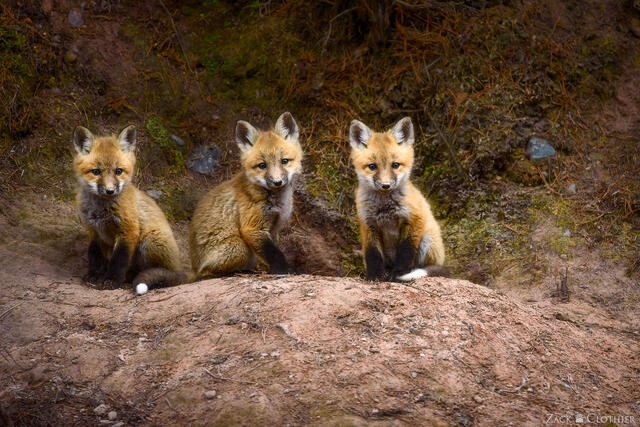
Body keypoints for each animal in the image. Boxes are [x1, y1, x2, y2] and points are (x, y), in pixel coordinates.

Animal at [73, 125, 186, 295]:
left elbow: (119, 261)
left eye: (118, 171)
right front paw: (94, 275)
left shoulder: (128, 231)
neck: (101, 210)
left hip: (150, 241)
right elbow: (94, 256)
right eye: (96, 172)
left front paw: (111, 281)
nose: (110, 191)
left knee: (160, 274)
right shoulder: (94, 231)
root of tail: (181, 269)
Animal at [189, 112, 302, 279]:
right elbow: (274, 254)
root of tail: (192, 267)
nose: (277, 182)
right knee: (205, 274)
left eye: (284, 161)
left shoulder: (272, 229)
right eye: (262, 165)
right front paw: (284, 270)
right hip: (239, 246)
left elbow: (275, 251)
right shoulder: (253, 228)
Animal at [349, 117, 446, 282]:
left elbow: (405, 252)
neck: (384, 207)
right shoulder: (368, 224)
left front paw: (399, 273)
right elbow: (372, 254)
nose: (385, 185)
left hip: (427, 239)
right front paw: (374, 276)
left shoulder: (414, 219)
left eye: (395, 165)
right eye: (372, 166)